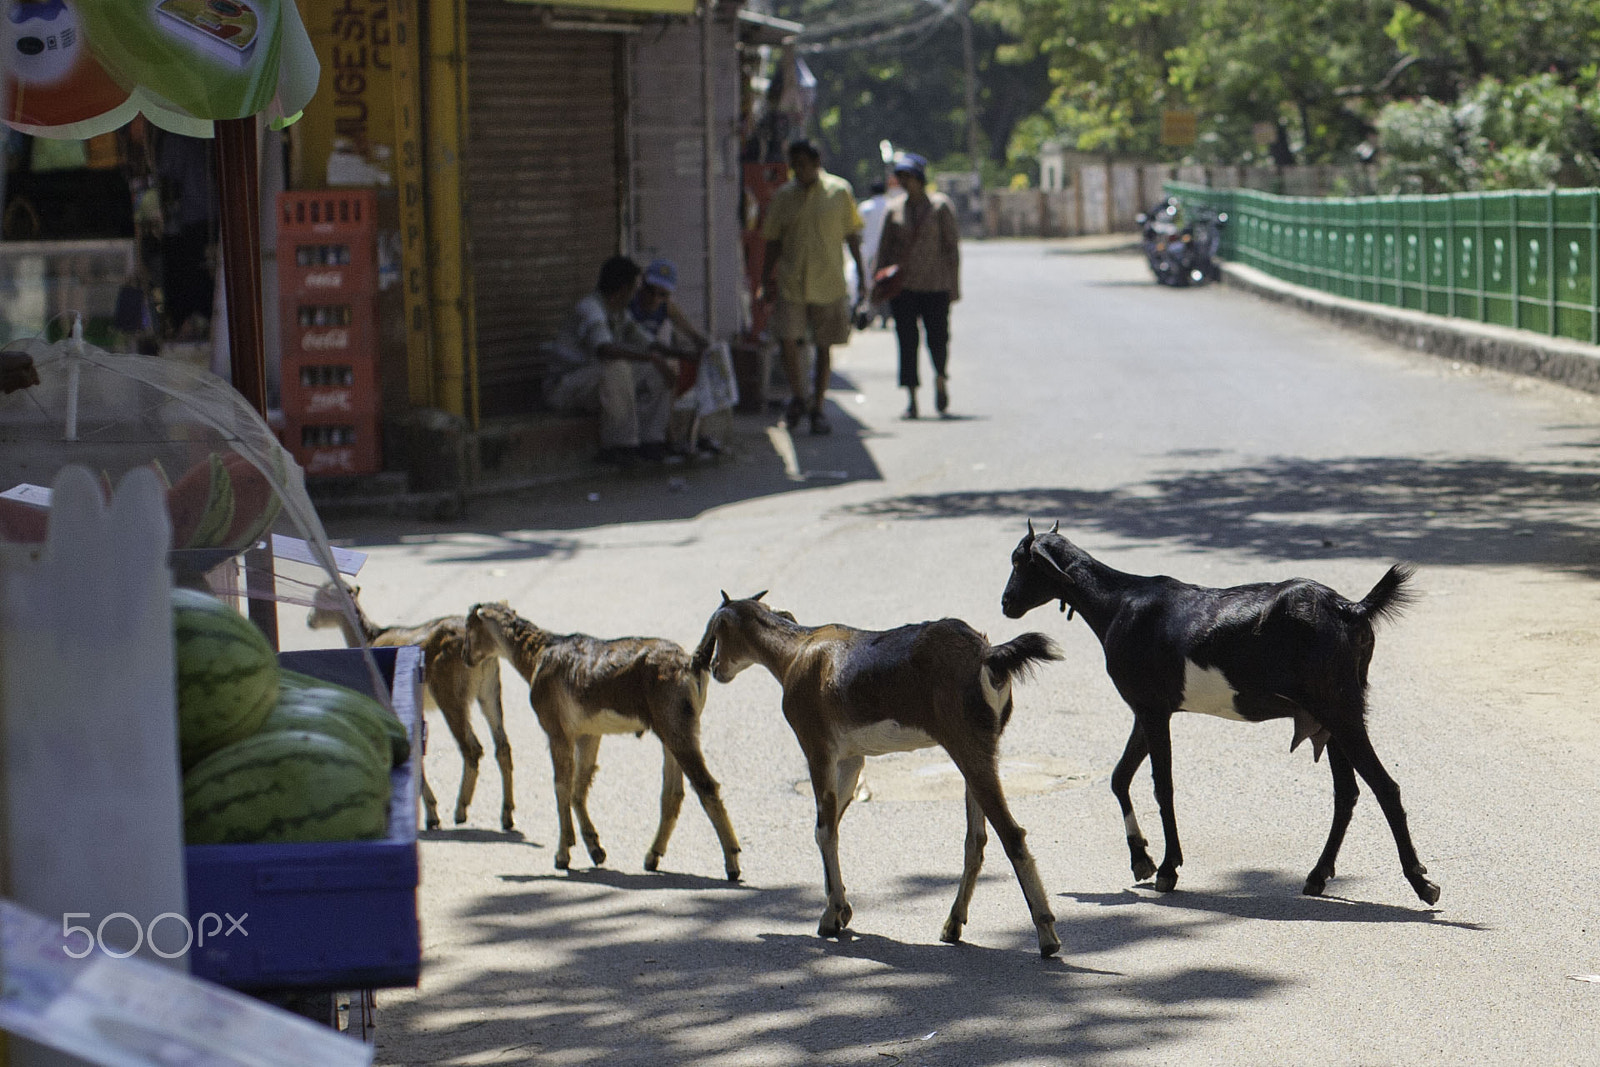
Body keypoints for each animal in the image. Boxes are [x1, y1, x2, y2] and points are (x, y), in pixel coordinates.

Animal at [305, 585, 512, 831]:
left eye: (319, 596)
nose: (310, 619)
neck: (370, 637)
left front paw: (431, 816)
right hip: (489, 689)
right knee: (501, 746)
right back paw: (506, 816)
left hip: (449, 693)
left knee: (471, 748)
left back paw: (460, 811)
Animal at [460, 604, 739, 883]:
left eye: (469, 627)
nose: (465, 656)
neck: (538, 655)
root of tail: (691, 663)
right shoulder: (589, 735)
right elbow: (579, 788)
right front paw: (596, 850)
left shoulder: (557, 732)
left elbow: (562, 787)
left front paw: (562, 855)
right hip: (671, 731)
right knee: (673, 794)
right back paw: (652, 857)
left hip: (676, 728)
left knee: (706, 786)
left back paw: (732, 863)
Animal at [697, 591, 1062, 959]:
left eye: (717, 628)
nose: (712, 667)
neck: (795, 653)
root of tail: (989, 656)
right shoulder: (851, 759)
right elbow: (833, 826)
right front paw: (840, 910)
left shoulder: (817, 749)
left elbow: (823, 829)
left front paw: (830, 918)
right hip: (981, 749)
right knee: (976, 840)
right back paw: (952, 925)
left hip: (967, 745)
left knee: (1011, 834)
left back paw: (1046, 936)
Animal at [998, 521, 1440, 908]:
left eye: (1021, 561)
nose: (1006, 603)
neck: (1118, 603)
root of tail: (1352, 608)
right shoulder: (1148, 708)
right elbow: (1120, 776)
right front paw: (1141, 859)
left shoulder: (1152, 711)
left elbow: (1162, 786)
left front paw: (1167, 869)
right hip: (1327, 717)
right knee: (1347, 792)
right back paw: (1317, 876)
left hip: (1339, 707)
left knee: (1386, 787)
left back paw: (1422, 883)